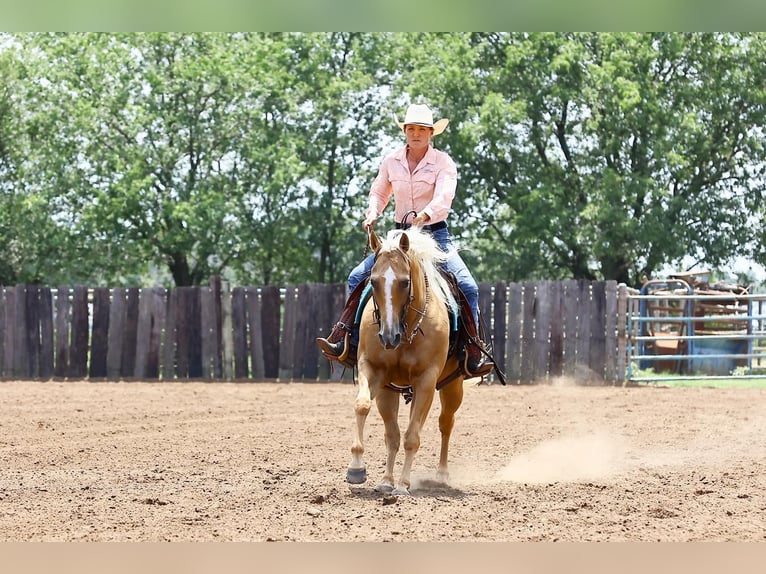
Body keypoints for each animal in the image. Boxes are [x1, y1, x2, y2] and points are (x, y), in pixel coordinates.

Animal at [350, 227, 468, 498]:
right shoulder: (373, 371)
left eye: (404, 282)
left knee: (445, 423)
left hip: (452, 386)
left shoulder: (426, 380)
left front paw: (403, 485)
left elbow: (412, 436)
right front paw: (361, 469)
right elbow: (364, 408)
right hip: (392, 389)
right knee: (393, 433)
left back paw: (441, 475)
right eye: (373, 281)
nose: (387, 335)